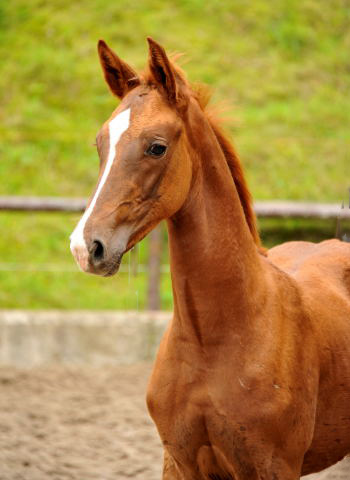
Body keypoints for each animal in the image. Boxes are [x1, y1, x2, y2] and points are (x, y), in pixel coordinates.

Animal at [70, 38, 350, 480]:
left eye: (156, 147)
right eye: (100, 145)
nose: (86, 247)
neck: (214, 340)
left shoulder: (273, 467)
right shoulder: (179, 462)